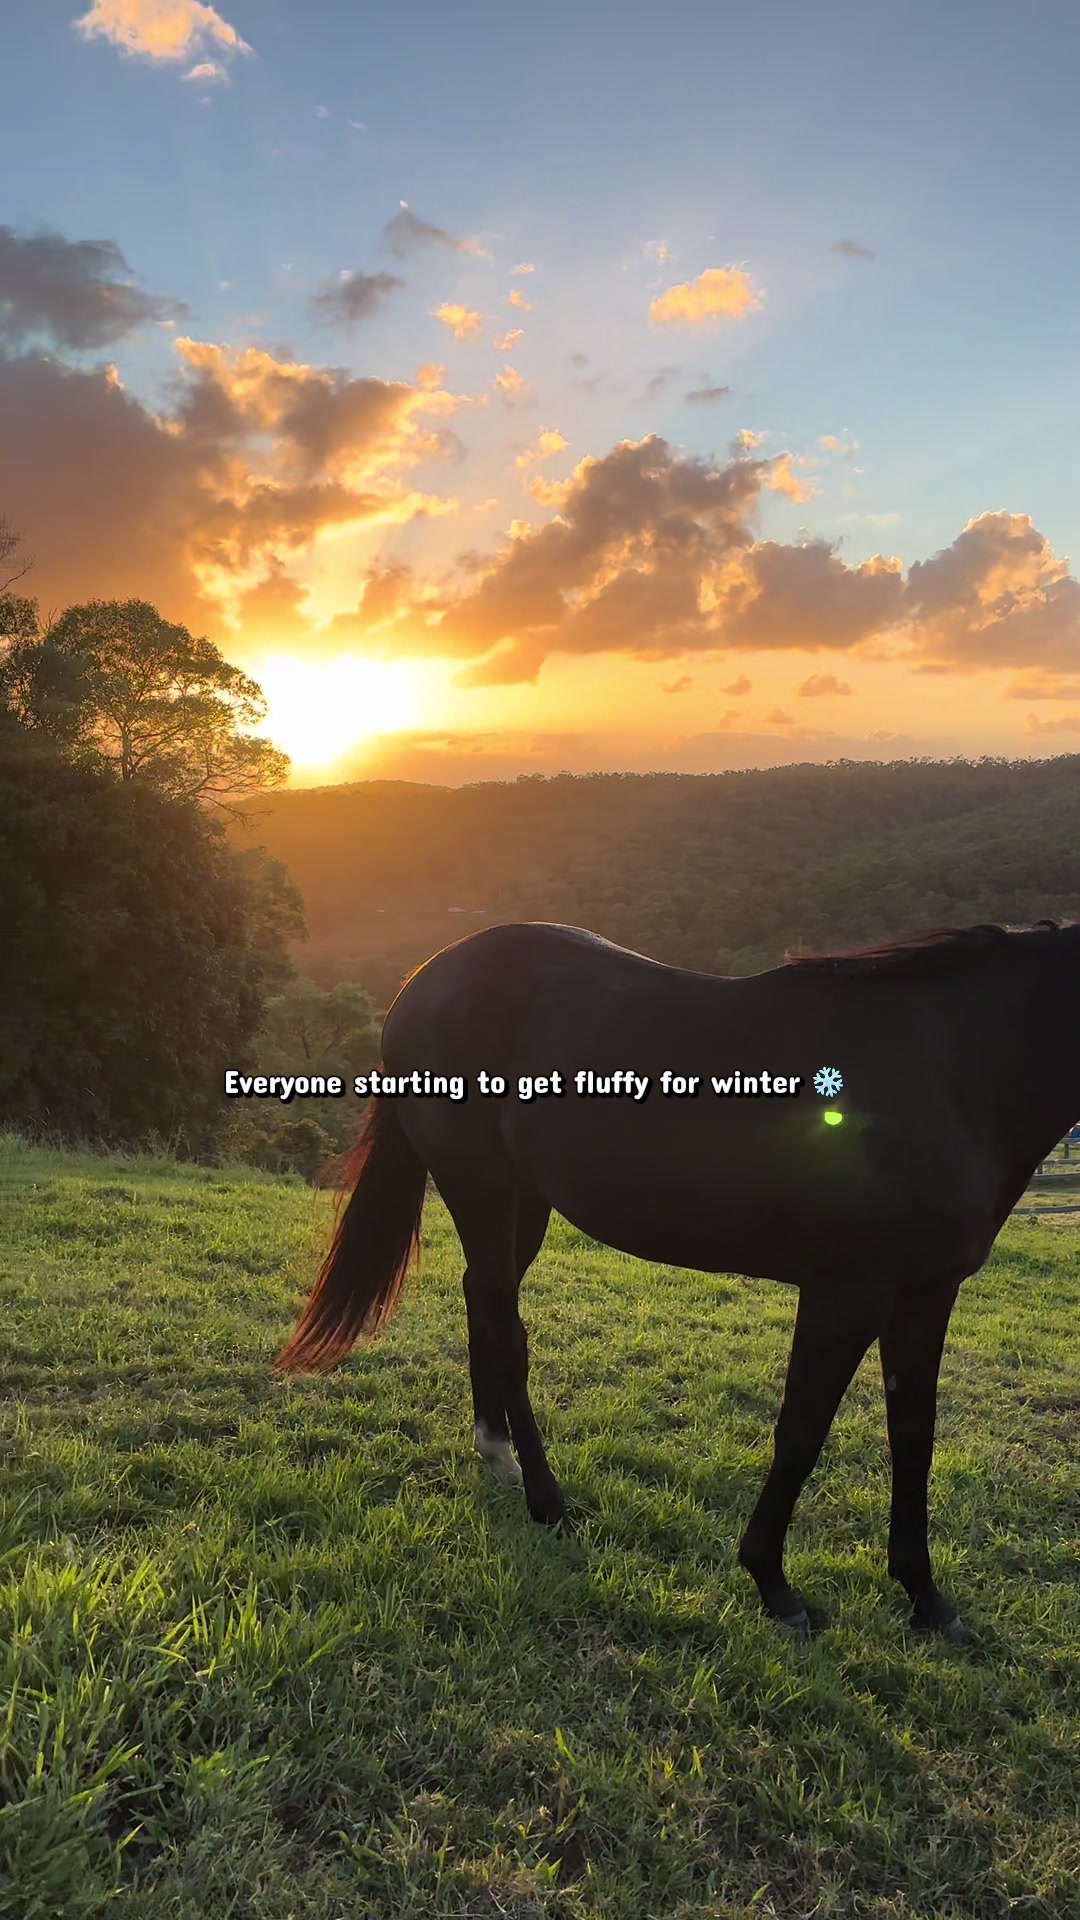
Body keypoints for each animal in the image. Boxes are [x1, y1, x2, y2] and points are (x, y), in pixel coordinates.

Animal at [275, 917, 1080, 1641]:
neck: (948, 1072)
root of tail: (426, 980)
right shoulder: (844, 1292)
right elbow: (802, 1430)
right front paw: (773, 1584)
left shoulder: (926, 1293)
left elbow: (914, 1434)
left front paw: (926, 1599)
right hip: (481, 1187)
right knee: (506, 1331)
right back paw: (548, 1501)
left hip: (521, 1203)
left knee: (484, 1300)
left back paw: (496, 1451)